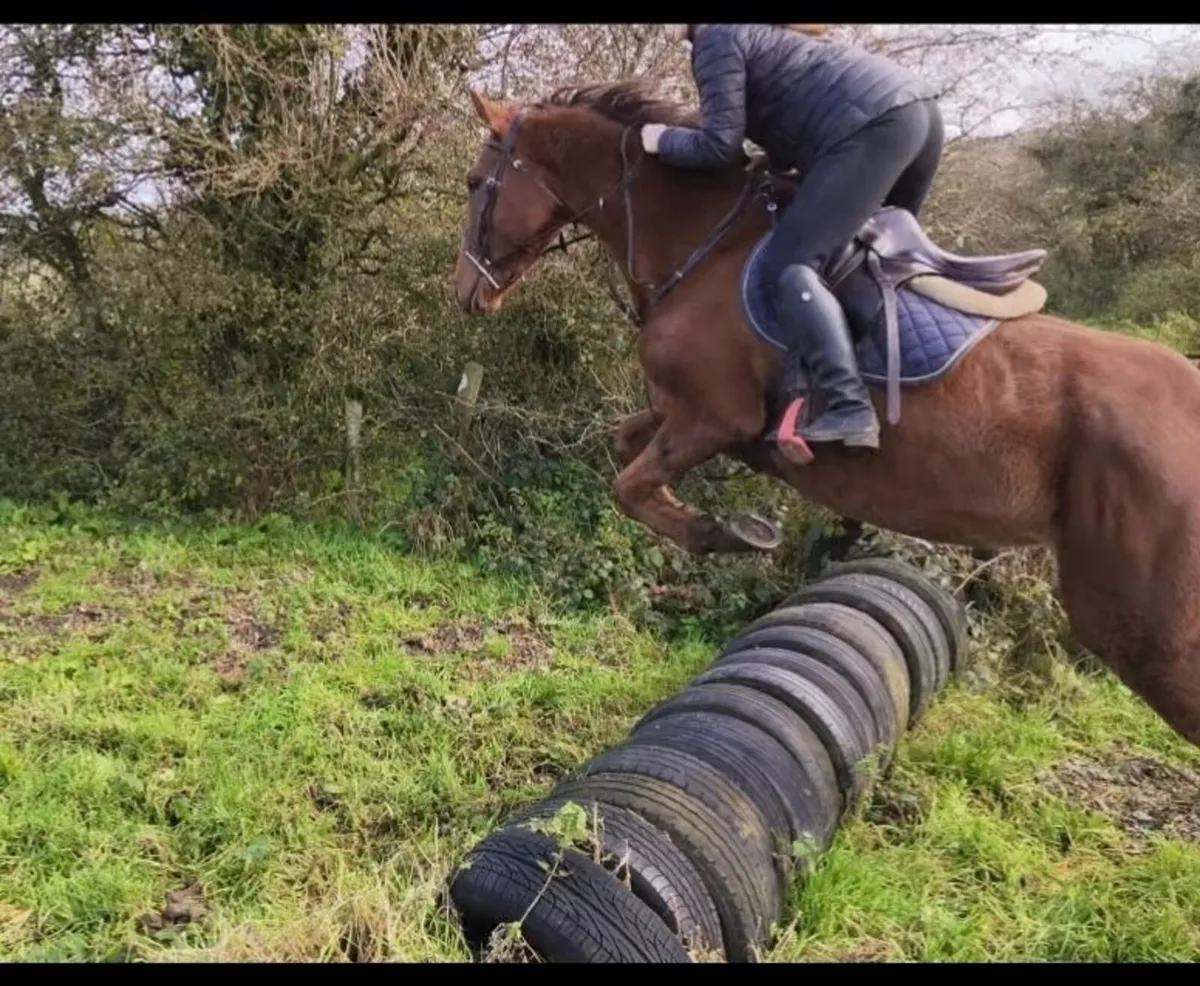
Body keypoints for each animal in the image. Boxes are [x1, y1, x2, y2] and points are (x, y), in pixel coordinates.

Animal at [452, 79, 1200, 750]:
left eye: (473, 182)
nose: (466, 293)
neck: (706, 247)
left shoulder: (715, 419)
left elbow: (630, 485)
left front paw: (729, 533)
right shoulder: (684, 416)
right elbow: (626, 445)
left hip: (1145, 629)